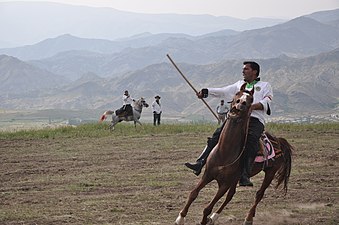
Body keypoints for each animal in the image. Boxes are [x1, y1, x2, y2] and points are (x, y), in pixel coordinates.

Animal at [177, 85, 294, 225]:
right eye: (236, 94)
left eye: (250, 99)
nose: (240, 103)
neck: (225, 152)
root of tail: (278, 141)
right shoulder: (208, 175)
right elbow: (193, 193)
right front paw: (181, 218)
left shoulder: (225, 183)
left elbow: (208, 207)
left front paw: (204, 220)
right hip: (236, 179)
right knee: (231, 195)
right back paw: (214, 217)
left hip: (270, 172)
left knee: (259, 194)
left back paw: (248, 218)